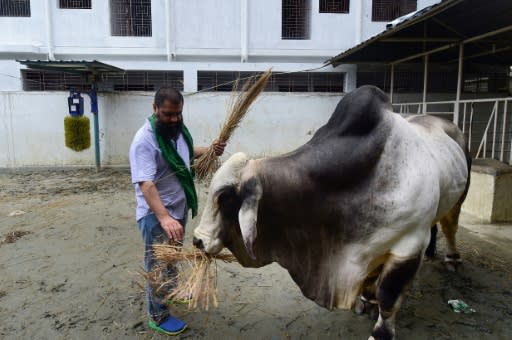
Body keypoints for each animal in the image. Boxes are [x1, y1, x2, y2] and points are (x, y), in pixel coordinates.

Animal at [193, 85, 472, 340]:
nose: (197, 240)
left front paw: (380, 331)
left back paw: (453, 259)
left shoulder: (409, 244)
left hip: (458, 199)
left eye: (225, 197)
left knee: (450, 227)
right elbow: (372, 278)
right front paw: (367, 301)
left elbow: (389, 295)